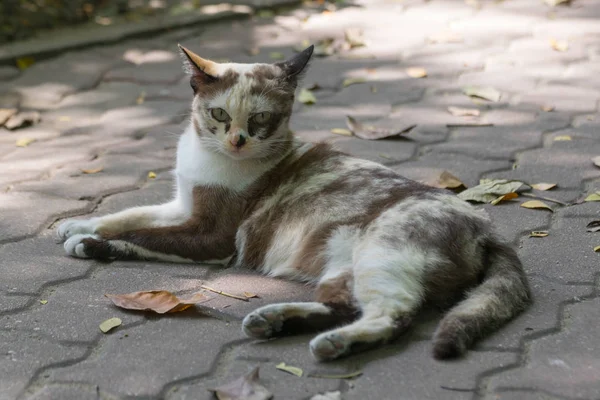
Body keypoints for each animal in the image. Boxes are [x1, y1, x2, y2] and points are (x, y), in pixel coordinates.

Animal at [56, 45, 528, 360]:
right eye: (220, 114)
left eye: (261, 118)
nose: (237, 141)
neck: (210, 158)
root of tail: (487, 229)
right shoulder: (183, 204)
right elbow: (129, 215)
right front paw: (76, 225)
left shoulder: (211, 237)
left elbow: (143, 235)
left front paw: (87, 243)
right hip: (344, 266)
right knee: (344, 306)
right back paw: (274, 321)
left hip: (382, 254)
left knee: (394, 315)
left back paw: (331, 344)